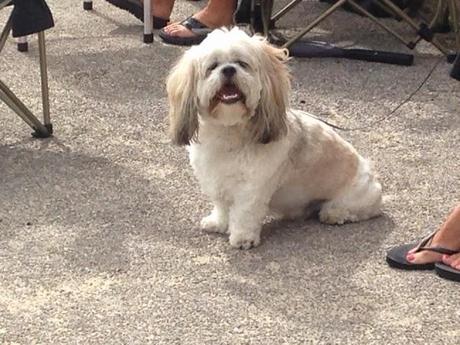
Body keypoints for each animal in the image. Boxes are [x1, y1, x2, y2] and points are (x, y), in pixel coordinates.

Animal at [165, 26, 380, 247]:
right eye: (213, 66)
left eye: (242, 64)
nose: (229, 70)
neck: (229, 132)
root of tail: (370, 174)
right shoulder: (217, 180)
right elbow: (222, 205)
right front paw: (218, 223)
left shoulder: (252, 189)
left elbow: (244, 213)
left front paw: (243, 238)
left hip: (354, 197)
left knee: (352, 210)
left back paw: (335, 213)